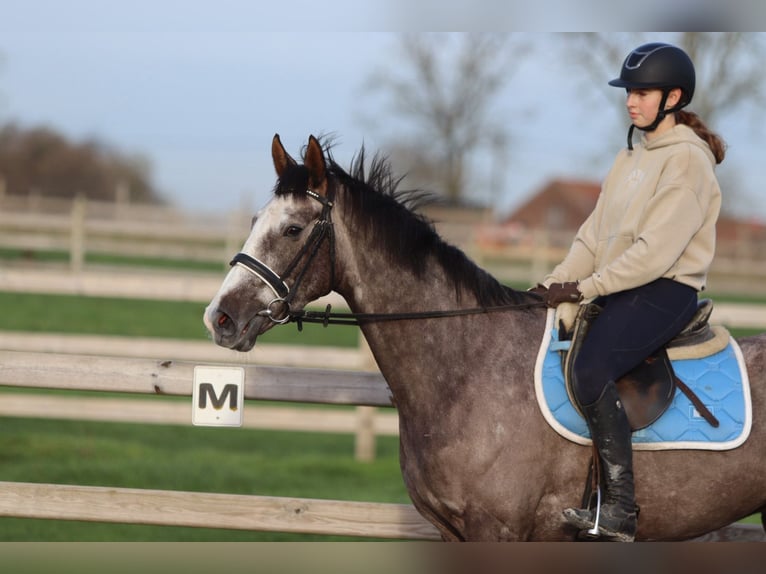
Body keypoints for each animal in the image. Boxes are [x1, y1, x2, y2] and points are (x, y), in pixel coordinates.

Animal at [203, 134, 766, 541]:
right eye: (255, 220)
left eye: (293, 229)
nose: (220, 318)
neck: (466, 369)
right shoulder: (454, 530)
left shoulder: (496, 529)